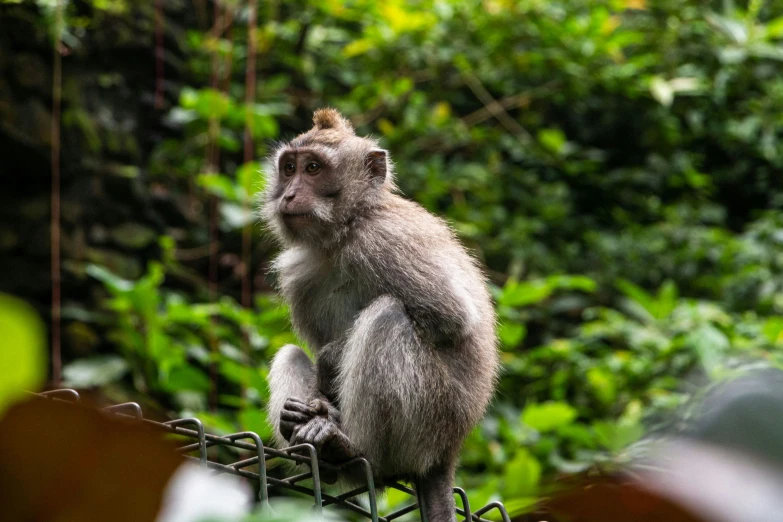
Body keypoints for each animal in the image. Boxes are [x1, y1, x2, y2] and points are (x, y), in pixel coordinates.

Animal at [260, 107, 500, 516]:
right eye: (289, 168)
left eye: (313, 168)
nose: (288, 194)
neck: (343, 233)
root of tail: (447, 453)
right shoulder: (298, 273)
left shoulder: (385, 238)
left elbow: (450, 316)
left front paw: (331, 360)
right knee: (290, 353)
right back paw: (306, 437)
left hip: (429, 421)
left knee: (387, 316)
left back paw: (350, 445)